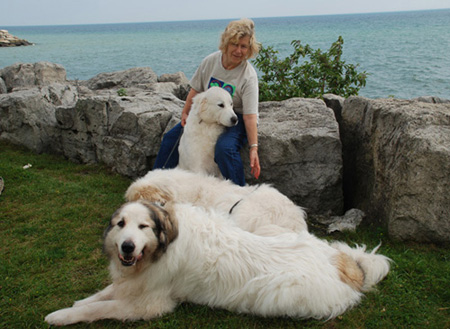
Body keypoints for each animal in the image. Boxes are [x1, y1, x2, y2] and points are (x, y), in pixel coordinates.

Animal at [45, 199, 390, 324]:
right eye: (121, 224)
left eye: (143, 227)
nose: (127, 247)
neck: (164, 246)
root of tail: (345, 264)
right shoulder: (134, 282)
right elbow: (105, 292)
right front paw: (80, 300)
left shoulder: (150, 304)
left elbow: (102, 308)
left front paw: (60, 315)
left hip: (282, 292)